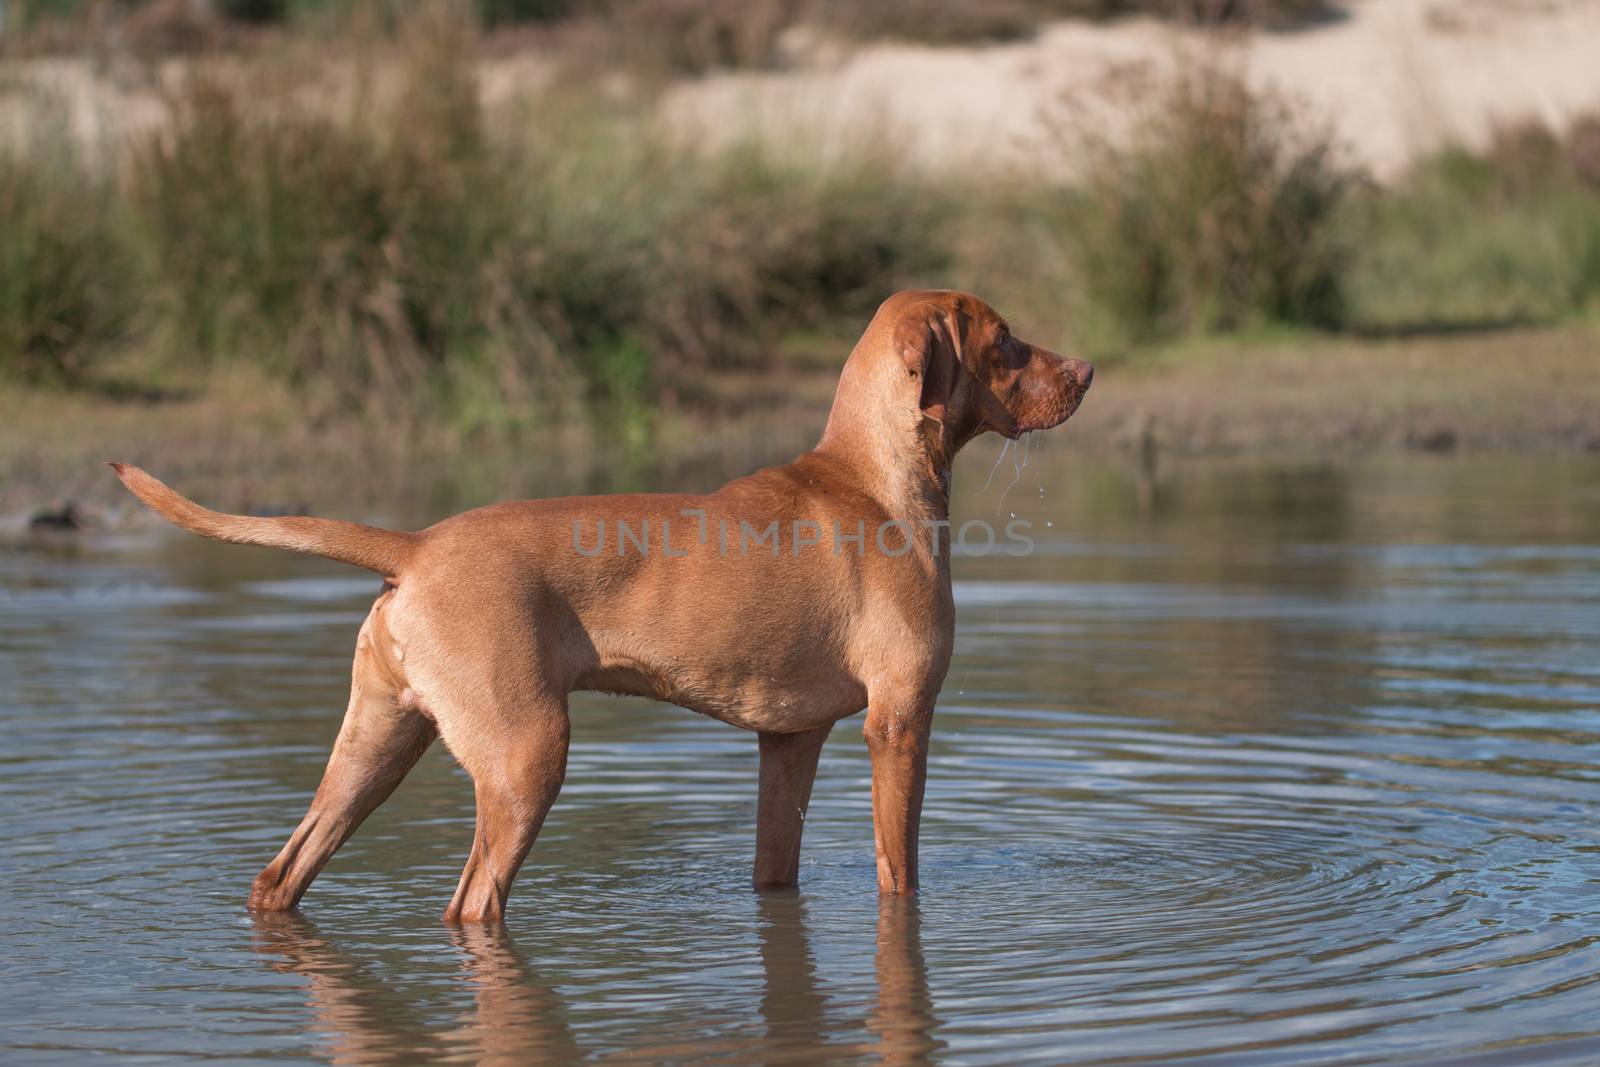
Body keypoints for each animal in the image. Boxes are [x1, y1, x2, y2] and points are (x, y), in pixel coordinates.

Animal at [109, 287, 1088, 921]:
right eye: (1005, 341)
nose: (1086, 367)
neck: (872, 477)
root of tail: (417, 546)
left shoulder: (788, 742)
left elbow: (775, 870)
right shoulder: (900, 720)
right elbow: (900, 875)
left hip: (379, 742)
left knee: (281, 875)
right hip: (525, 757)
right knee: (471, 905)